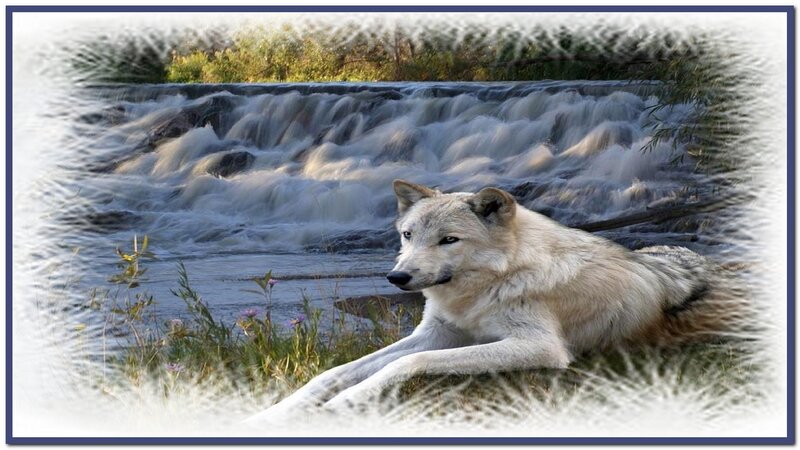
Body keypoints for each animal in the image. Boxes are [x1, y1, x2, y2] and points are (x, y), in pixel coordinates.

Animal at [247, 180, 743, 423]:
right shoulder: (437, 333)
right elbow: (335, 372)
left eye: (449, 240)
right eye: (407, 235)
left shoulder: (539, 347)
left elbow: (405, 364)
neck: (487, 286)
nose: (396, 276)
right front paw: (274, 413)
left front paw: (344, 404)